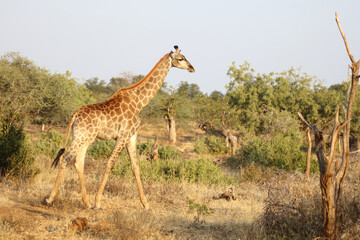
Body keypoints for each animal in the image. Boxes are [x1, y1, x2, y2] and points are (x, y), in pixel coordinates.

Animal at [45, 46, 194, 209]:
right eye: (180, 59)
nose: (192, 68)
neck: (139, 103)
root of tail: (75, 115)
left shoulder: (132, 136)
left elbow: (135, 167)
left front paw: (145, 204)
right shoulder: (123, 135)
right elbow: (110, 164)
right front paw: (98, 201)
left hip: (84, 138)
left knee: (78, 162)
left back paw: (86, 202)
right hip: (81, 137)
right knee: (65, 158)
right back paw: (50, 199)